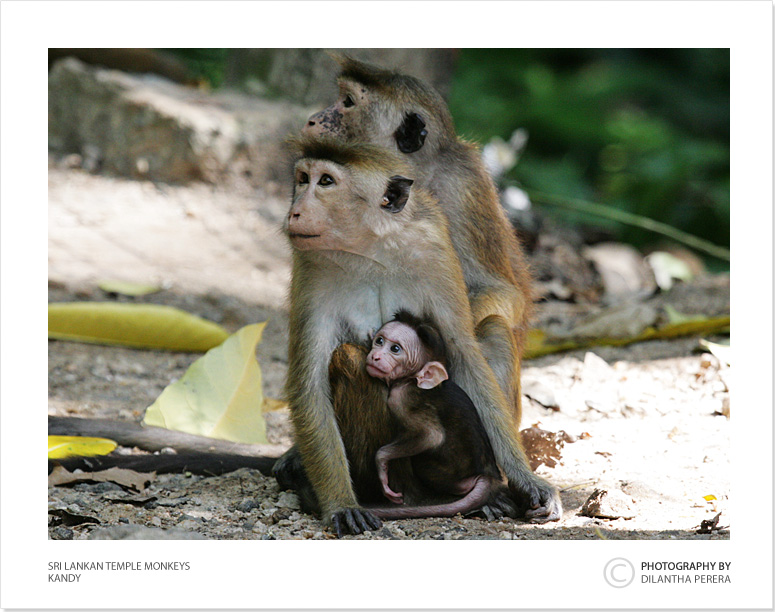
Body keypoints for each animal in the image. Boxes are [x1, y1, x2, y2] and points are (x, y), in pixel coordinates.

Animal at [366, 310, 520, 520]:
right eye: (379, 341)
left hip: (443, 474)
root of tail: (490, 476)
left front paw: (382, 465)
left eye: (395, 349)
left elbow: (431, 436)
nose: (375, 356)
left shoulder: (401, 398)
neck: (411, 379)